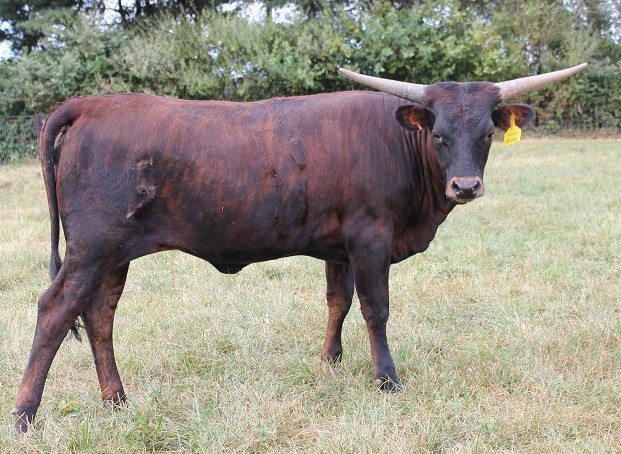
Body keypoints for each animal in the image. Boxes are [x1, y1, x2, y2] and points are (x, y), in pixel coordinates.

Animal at [13, 63, 586, 431]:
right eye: (439, 134)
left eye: (487, 133)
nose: (465, 186)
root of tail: (92, 103)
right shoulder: (370, 236)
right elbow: (375, 308)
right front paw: (386, 379)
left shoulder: (339, 246)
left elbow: (338, 301)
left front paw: (330, 360)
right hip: (93, 247)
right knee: (56, 309)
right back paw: (24, 415)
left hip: (113, 255)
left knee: (100, 316)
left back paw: (116, 401)